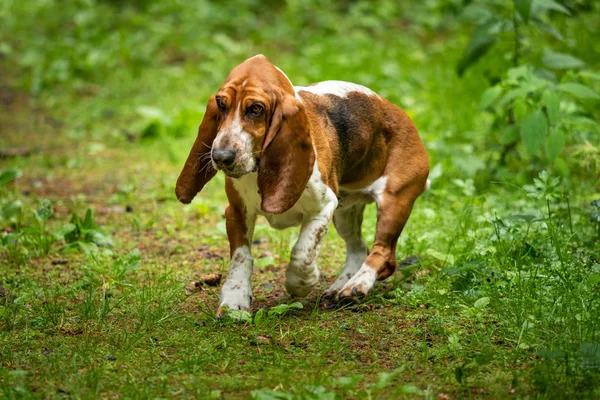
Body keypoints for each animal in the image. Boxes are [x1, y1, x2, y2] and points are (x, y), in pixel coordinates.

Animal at [176, 54, 428, 316]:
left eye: (256, 109)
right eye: (221, 105)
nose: (220, 156)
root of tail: (399, 112)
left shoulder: (323, 207)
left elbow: (302, 252)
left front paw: (301, 283)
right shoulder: (237, 212)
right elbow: (241, 257)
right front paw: (235, 299)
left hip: (393, 201)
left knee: (383, 253)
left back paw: (357, 285)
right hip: (345, 212)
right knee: (358, 247)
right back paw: (339, 288)